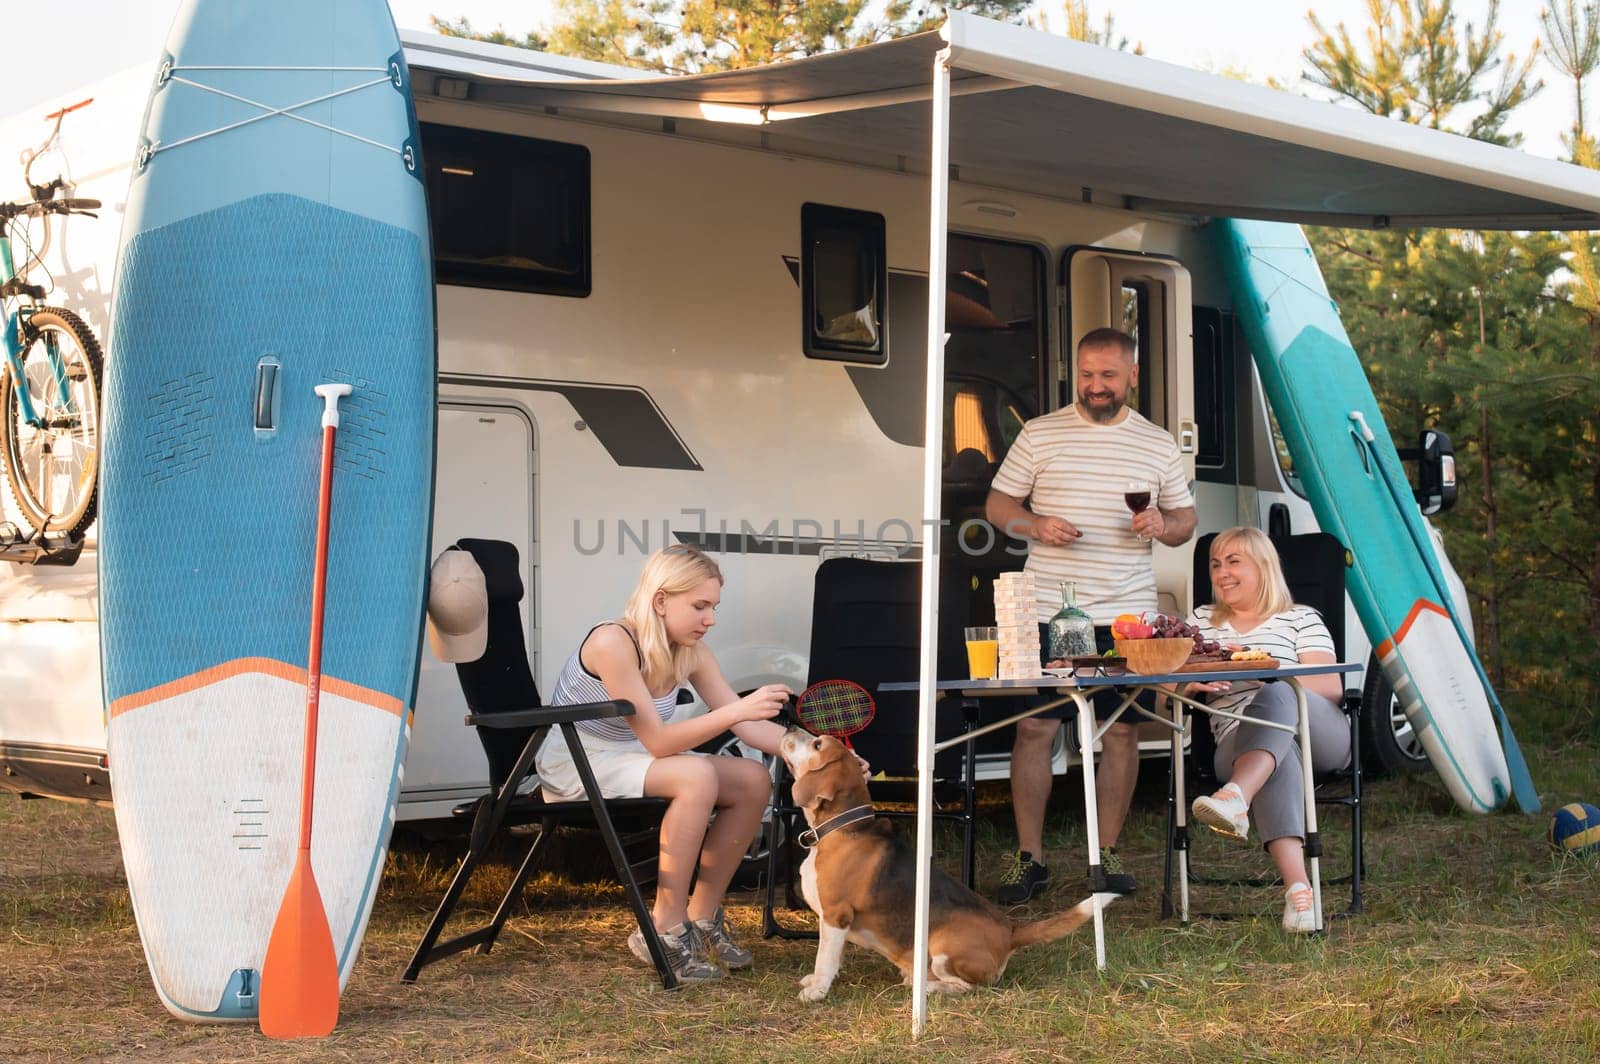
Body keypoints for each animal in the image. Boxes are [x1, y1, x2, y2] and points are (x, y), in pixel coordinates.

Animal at [777, 726, 1113, 998]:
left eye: (817, 744)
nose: (789, 725)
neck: (842, 827)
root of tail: (1010, 931)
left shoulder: (836, 915)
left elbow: (825, 957)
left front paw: (817, 991)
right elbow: (831, 956)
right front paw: (816, 983)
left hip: (943, 950)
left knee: (966, 987)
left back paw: (926, 986)